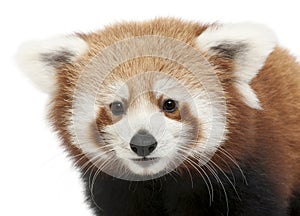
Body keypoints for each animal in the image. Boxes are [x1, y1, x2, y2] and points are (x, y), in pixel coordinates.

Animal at [16, 17, 300, 215]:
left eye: (169, 104)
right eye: (116, 106)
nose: (142, 143)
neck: (160, 183)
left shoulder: (250, 177)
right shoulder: (115, 192)